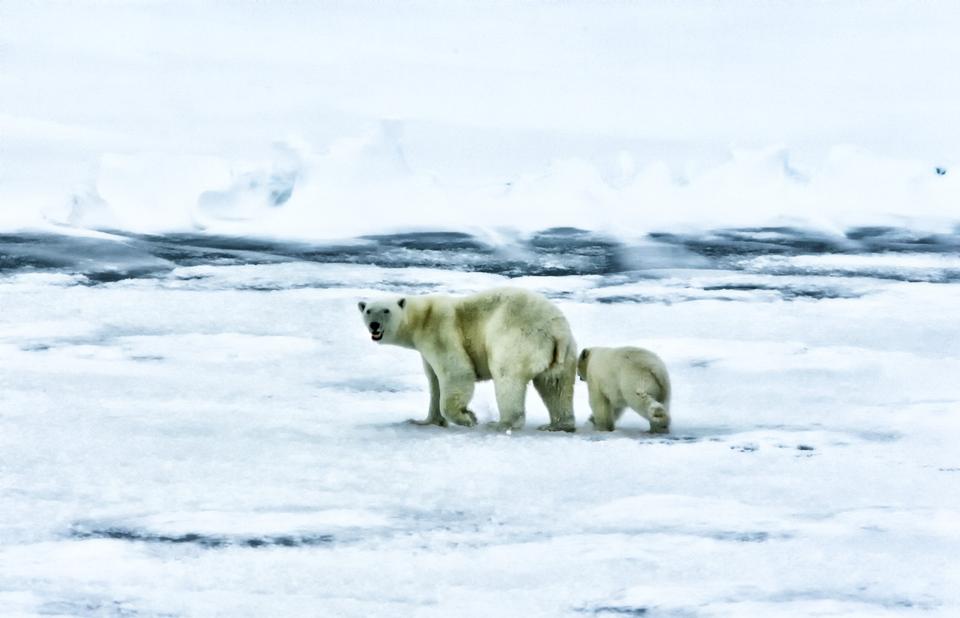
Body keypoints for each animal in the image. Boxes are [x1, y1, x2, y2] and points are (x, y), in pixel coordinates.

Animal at [356, 288, 572, 428]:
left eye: (386, 310)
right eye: (368, 311)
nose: (374, 325)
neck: (422, 317)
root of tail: (556, 331)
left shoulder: (439, 331)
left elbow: (456, 371)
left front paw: (468, 418)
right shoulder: (425, 350)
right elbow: (434, 381)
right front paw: (425, 421)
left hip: (516, 338)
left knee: (507, 377)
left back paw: (501, 424)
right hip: (563, 351)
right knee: (556, 385)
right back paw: (559, 425)